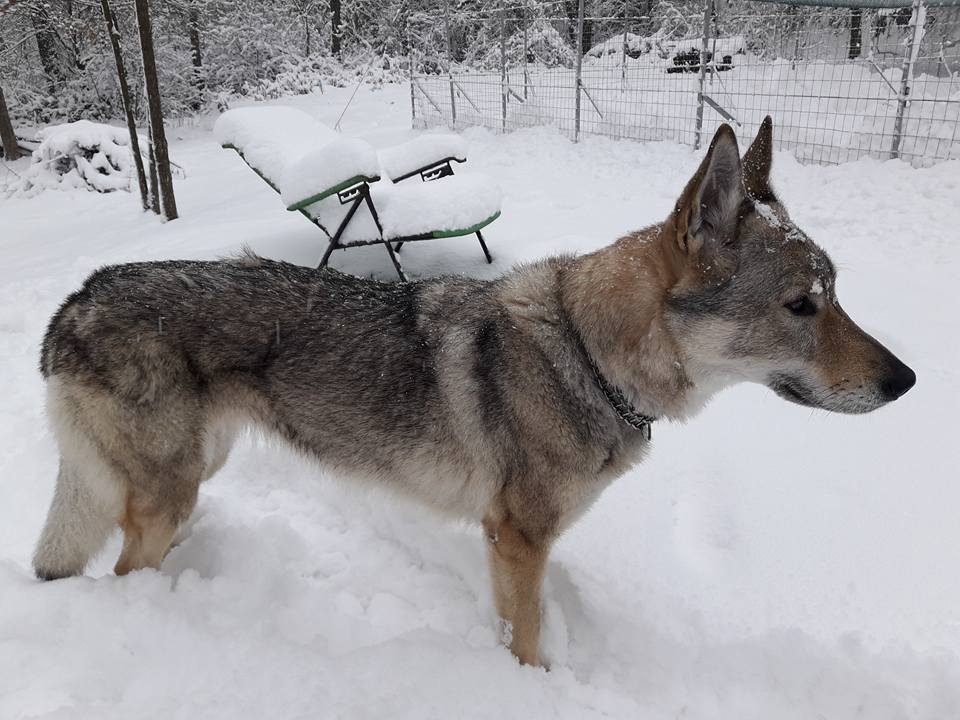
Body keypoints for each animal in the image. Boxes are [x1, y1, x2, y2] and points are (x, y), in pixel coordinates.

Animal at [33, 119, 914, 666]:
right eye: (801, 306)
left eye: (836, 293)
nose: (906, 380)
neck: (589, 354)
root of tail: (73, 301)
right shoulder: (517, 539)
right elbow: (526, 640)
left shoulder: (513, 544)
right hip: (167, 489)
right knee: (122, 569)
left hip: (193, 472)